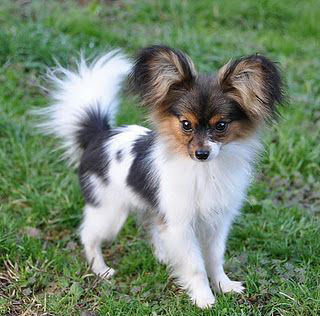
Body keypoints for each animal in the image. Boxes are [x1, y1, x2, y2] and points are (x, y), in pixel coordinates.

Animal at [40, 45, 282, 308]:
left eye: (221, 126)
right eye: (186, 124)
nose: (201, 153)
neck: (204, 171)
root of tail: (99, 135)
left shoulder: (217, 221)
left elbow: (214, 258)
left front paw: (223, 286)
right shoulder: (181, 223)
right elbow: (196, 266)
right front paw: (204, 298)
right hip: (109, 212)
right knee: (89, 235)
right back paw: (101, 269)